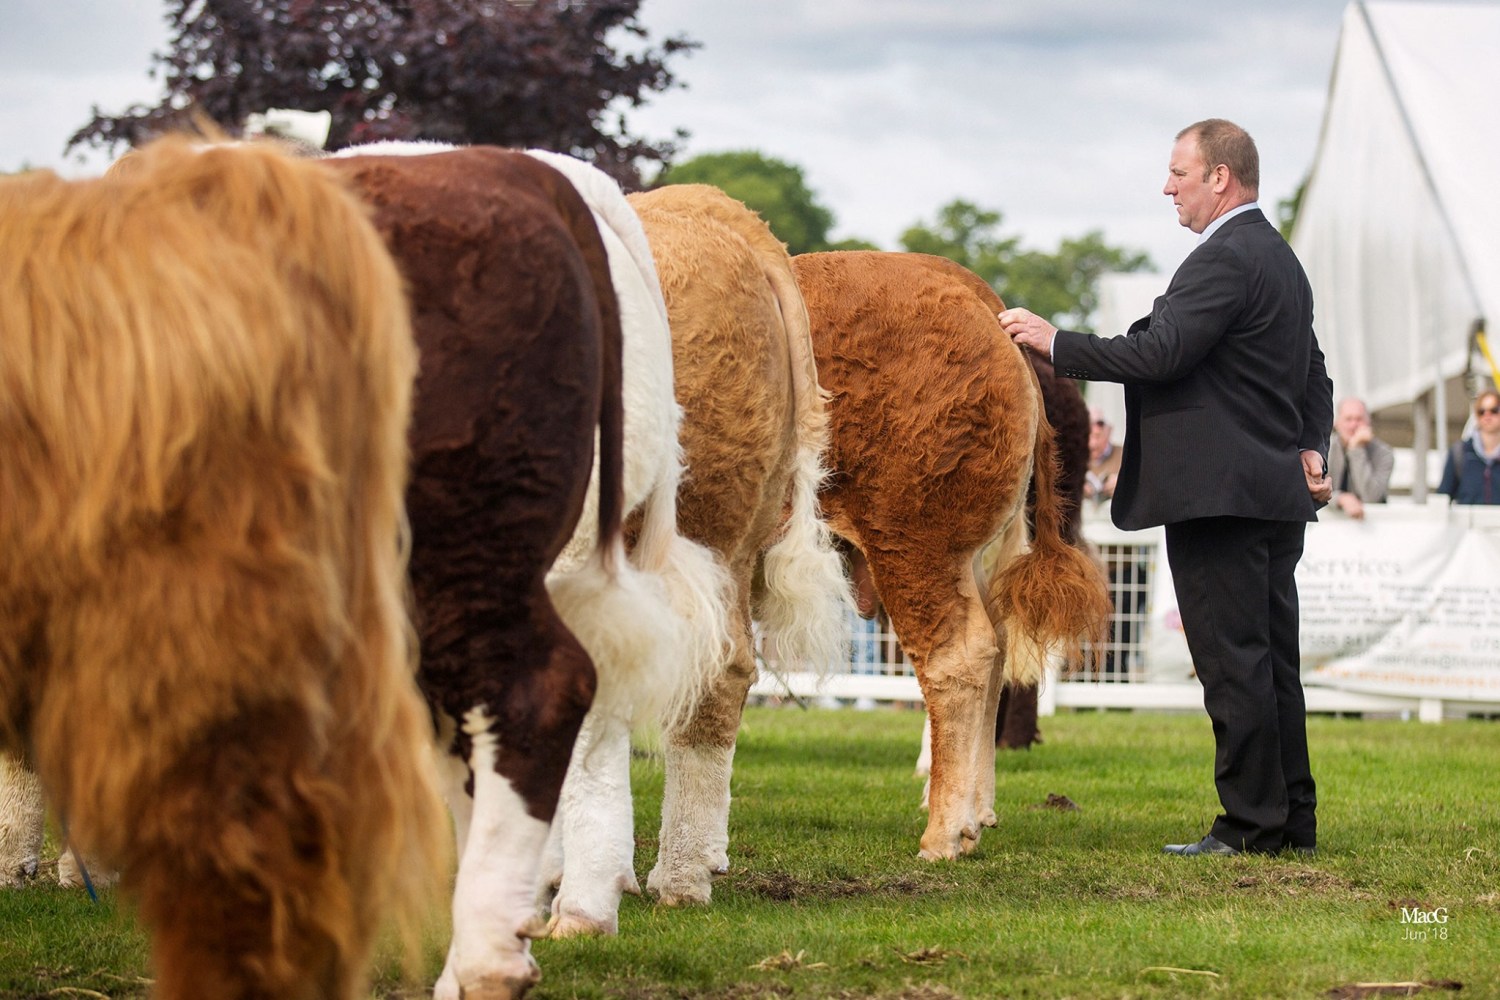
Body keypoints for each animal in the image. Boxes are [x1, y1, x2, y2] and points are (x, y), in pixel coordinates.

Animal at [798, 250, 1116, 863]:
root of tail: (980, 300)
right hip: (977, 555)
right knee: (999, 649)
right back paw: (975, 812)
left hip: (912, 539)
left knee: (960, 657)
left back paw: (943, 831)